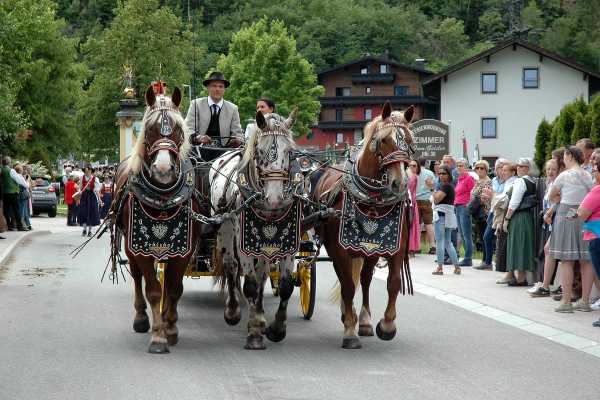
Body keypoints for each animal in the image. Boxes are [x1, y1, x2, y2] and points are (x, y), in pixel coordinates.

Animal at [109, 84, 200, 354]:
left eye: (179, 129)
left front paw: (171, 328)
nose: (162, 169)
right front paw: (158, 337)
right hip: (130, 245)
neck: (163, 199)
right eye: (149, 129)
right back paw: (141, 318)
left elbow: (174, 288)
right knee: (137, 277)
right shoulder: (141, 249)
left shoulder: (184, 249)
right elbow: (153, 291)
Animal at [211, 108, 302, 348]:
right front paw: (253, 334)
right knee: (231, 266)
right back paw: (233, 311)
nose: (275, 198)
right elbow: (249, 284)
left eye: (289, 151)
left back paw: (260, 315)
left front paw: (276, 329)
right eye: (260, 152)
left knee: (262, 273)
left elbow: (285, 285)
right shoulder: (243, 241)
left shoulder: (288, 239)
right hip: (225, 229)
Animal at [312, 101, 414, 348]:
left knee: (366, 279)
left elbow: (393, 283)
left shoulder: (394, 246)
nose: (399, 183)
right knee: (346, 280)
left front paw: (387, 325)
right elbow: (348, 285)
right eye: (384, 140)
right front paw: (350, 330)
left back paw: (365, 321)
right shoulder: (340, 250)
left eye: (409, 140)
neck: (370, 200)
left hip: (370, 251)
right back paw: (348, 315)